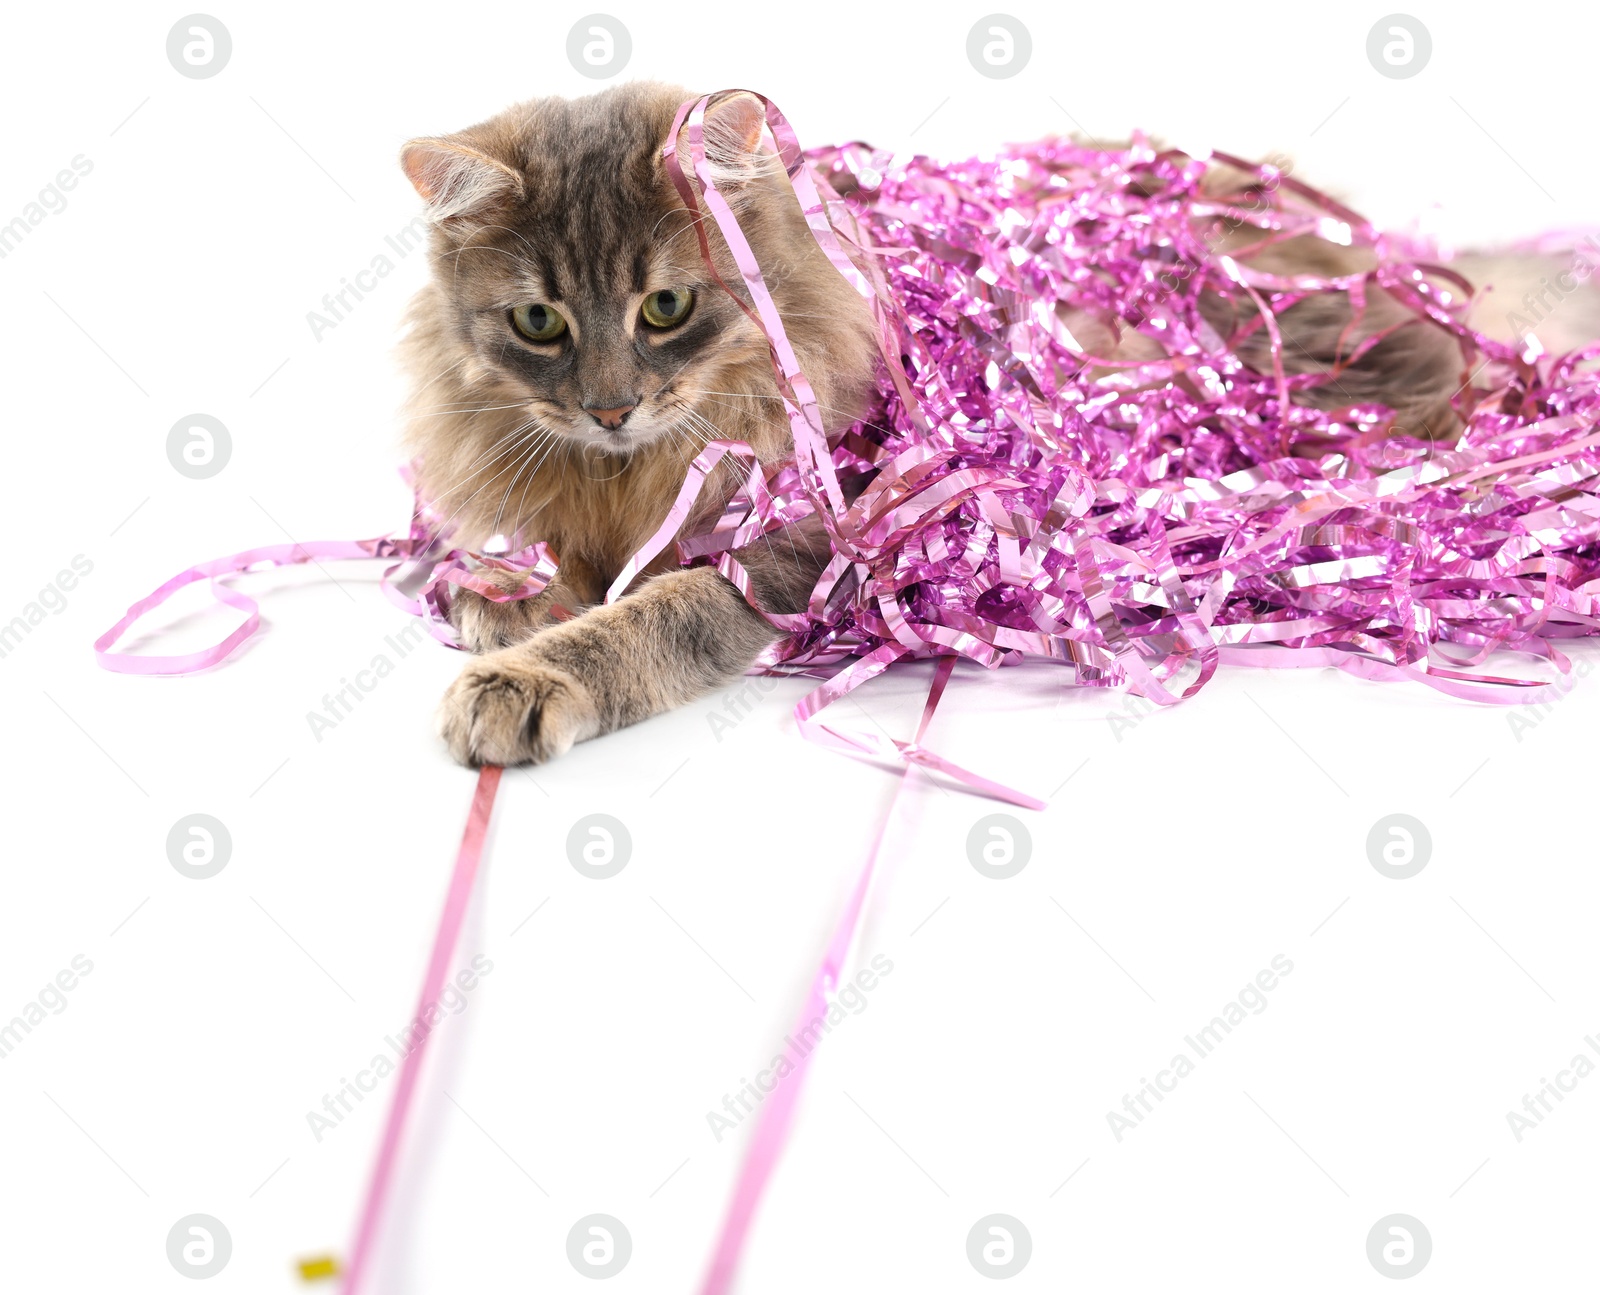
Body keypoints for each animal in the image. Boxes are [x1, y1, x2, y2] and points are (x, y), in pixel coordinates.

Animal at [396, 83, 1600, 768]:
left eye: (665, 308)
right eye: (541, 323)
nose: (608, 405)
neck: (630, 472)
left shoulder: (786, 556)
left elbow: (642, 620)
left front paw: (526, 678)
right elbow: (510, 560)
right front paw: (502, 594)